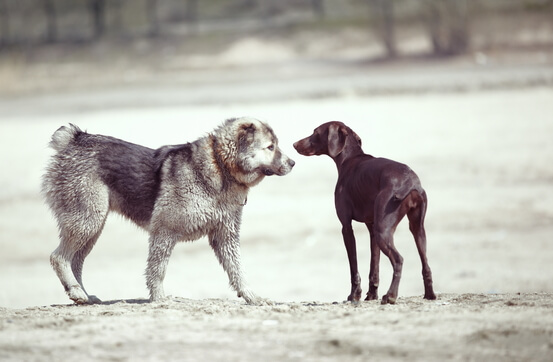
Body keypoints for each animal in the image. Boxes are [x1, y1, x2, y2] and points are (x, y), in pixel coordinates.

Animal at [294, 123, 436, 304]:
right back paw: (429, 294)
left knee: (399, 260)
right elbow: (374, 268)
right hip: (417, 229)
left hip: (384, 231)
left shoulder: (346, 227)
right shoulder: (372, 228)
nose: (294, 144)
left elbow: (353, 268)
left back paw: (390, 295)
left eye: (315, 132)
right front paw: (371, 295)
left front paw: (354, 295)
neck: (349, 159)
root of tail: (409, 182)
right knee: (426, 264)